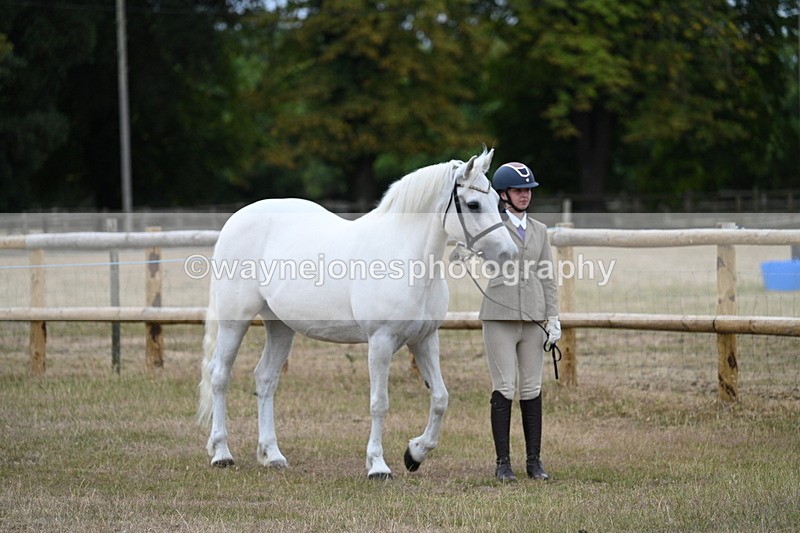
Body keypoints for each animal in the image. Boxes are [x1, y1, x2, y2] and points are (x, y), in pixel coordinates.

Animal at [197, 148, 517, 479]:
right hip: (235, 320)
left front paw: (415, 453)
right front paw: (377, 465)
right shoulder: (380, 341)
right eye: (473, 204)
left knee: (265, 379)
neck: (405, 255)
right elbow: (379, 403)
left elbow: (440, 398)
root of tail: (235, 220)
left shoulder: (425, 339)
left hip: (281, 326)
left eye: (498, 201)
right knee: (219, 376)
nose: (508, 254)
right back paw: (221, 453)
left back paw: (272, 455)